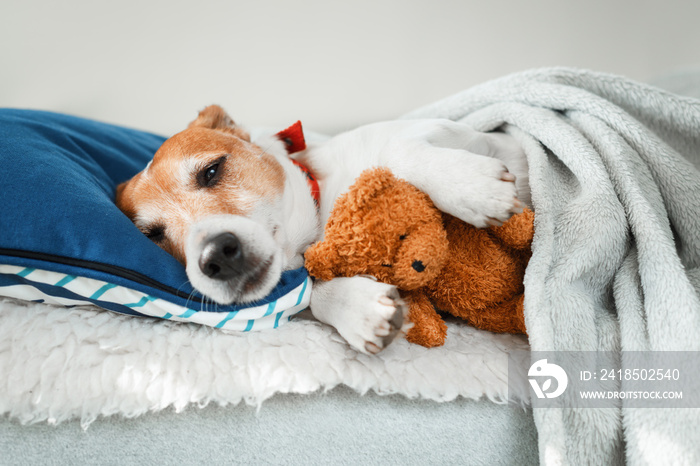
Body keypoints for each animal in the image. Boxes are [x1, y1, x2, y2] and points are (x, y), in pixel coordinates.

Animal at [116, 105, 532, 354]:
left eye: (212, 170)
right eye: (152, 235)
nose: (215, 255)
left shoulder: (469, 135)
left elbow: (398, 152)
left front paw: (475, 189)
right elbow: (310, 291)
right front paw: (359, 310)